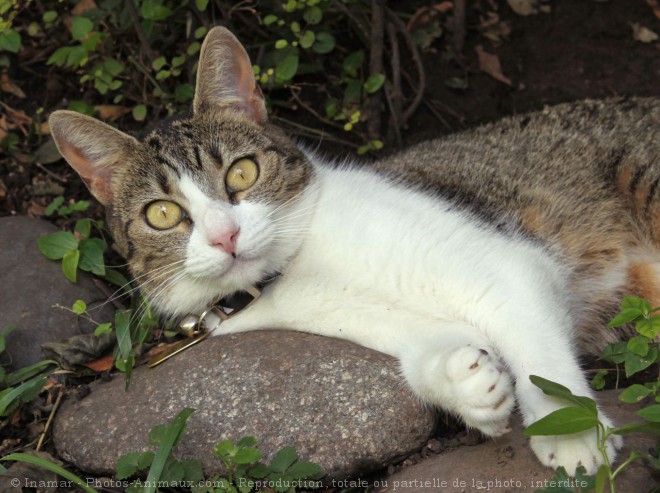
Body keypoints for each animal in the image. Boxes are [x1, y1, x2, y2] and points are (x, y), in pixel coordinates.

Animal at [47, 26, 660, 472]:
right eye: (162, 214)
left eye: (242, 173)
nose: (225, 236)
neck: (297, 266)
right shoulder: (357, 319)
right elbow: (425, 348)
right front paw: (469, 387)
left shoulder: (506, 265)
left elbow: (535, 352)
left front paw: (571, 429)